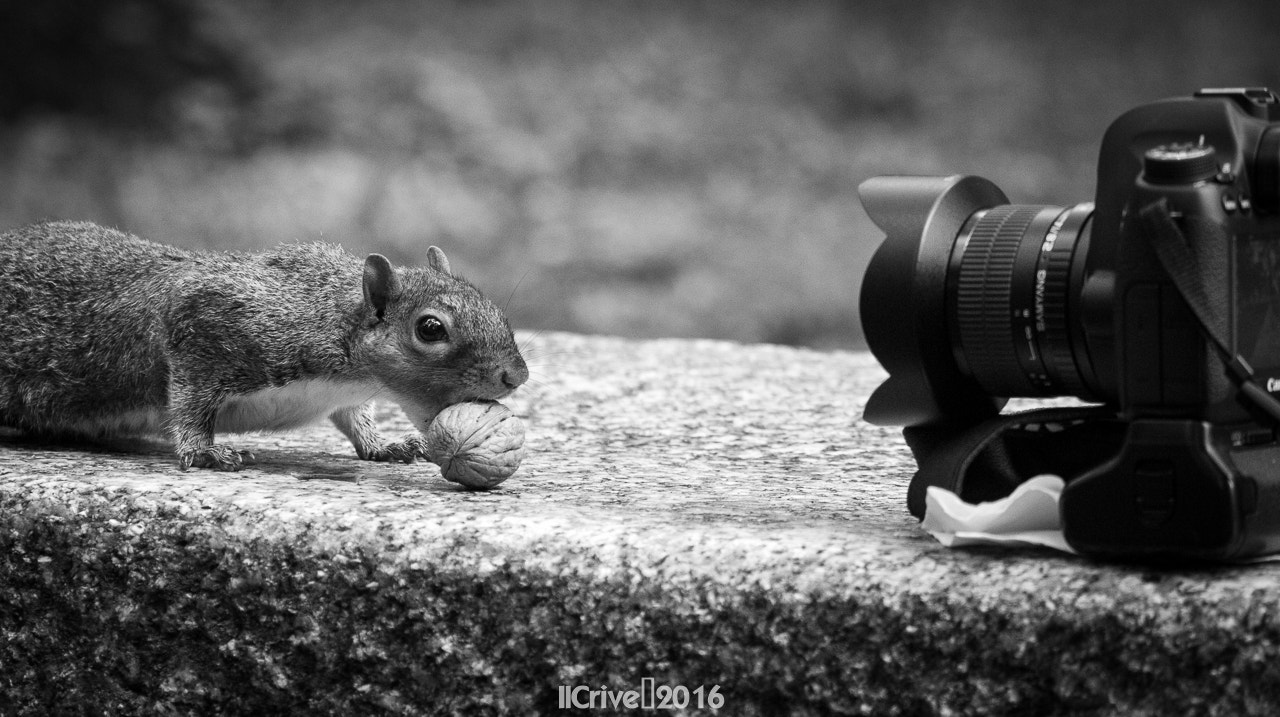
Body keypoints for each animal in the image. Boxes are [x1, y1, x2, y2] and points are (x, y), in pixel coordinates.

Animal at [0, 220, 528, 471]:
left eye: (487, 301)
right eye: (430, 329)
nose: (516, 376)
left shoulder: (346, 396)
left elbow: (354, 419)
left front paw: (384, 445)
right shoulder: (209, 329)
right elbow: (189, 402)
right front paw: (205, 453)